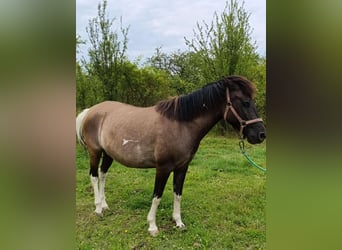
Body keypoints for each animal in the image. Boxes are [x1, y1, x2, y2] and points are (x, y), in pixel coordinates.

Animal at [76, 74, 266, 236]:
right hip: (95, 152)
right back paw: (98, 208)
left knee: (102, 175)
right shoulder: (163, 168)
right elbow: (157, 196)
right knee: (94, 176)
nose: (261, 134)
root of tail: (90, 111)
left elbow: (178, 194)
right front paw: (152, 226)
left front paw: (178, 222)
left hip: (108, 154)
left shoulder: (182, 167)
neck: (181, 125)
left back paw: (105, 205)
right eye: (245, 102)